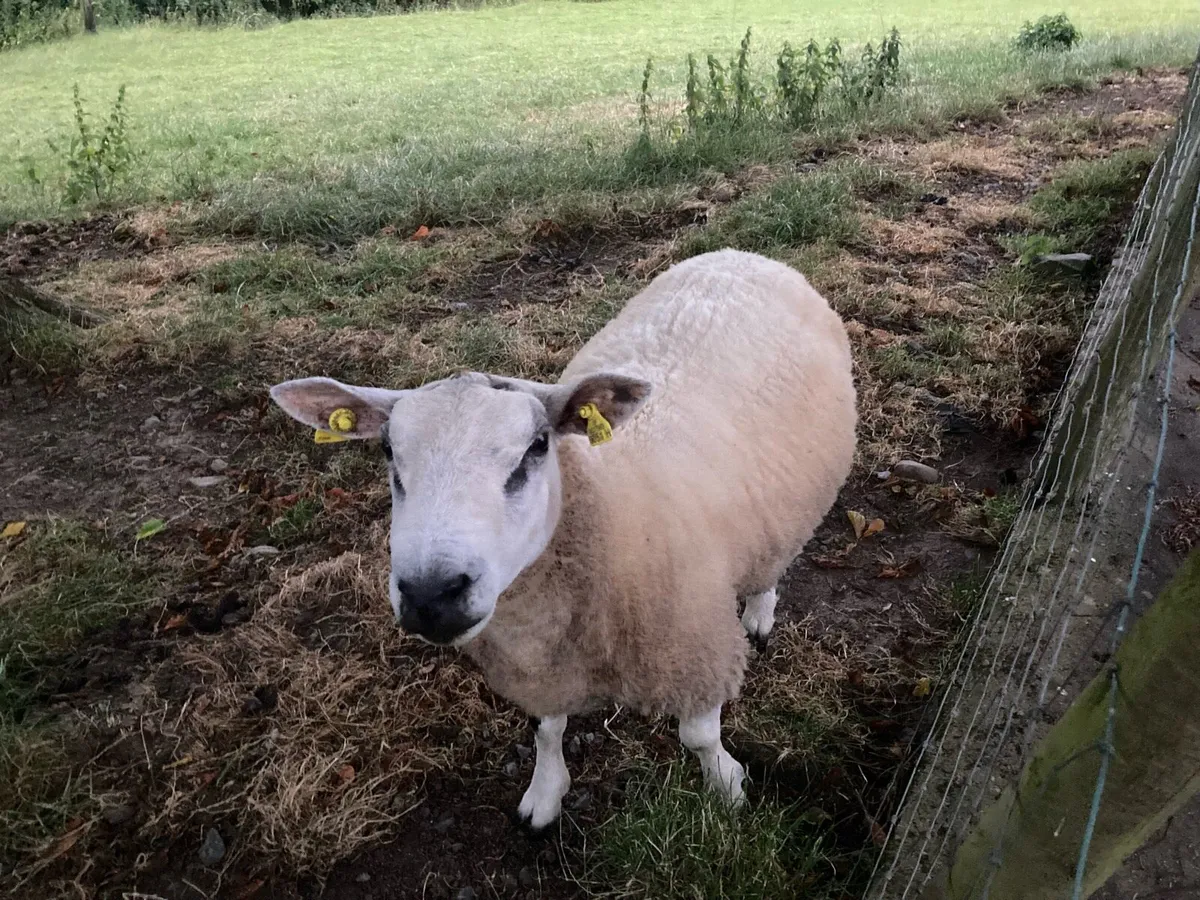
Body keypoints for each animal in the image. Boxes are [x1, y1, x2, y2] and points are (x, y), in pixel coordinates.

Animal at [269, 248, 857, 830]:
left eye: (536, 446)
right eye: (388, 450)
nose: (430, 595)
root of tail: (744, 256)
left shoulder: (694, 644)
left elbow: (699, 735)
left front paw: (728, 785)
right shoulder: (541, 667)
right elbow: (546, 730)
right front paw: (545, 793)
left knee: (771, 562)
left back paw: (759, 612)